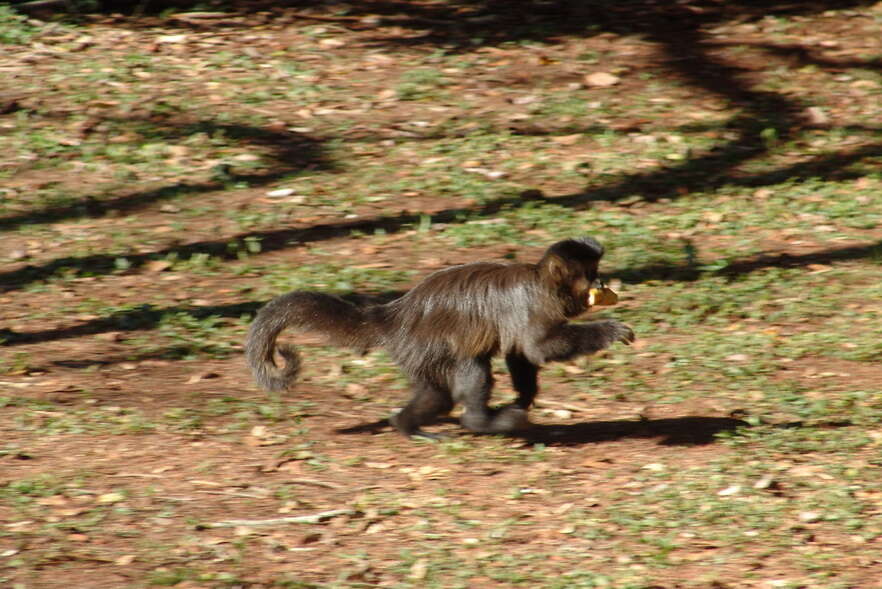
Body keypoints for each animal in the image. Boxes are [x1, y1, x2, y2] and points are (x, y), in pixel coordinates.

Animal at [248, 237, 632, 438]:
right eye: (590, 276)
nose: (601, 283)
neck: (543, 284)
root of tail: (393, 314)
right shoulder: (533, 303)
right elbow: (538, 348)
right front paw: (610, 330)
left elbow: (520, 353)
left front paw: (524, 397)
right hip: (422, 347)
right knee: (467, 370)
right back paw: (477, 423)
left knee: (439, 393)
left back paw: (405, 425)